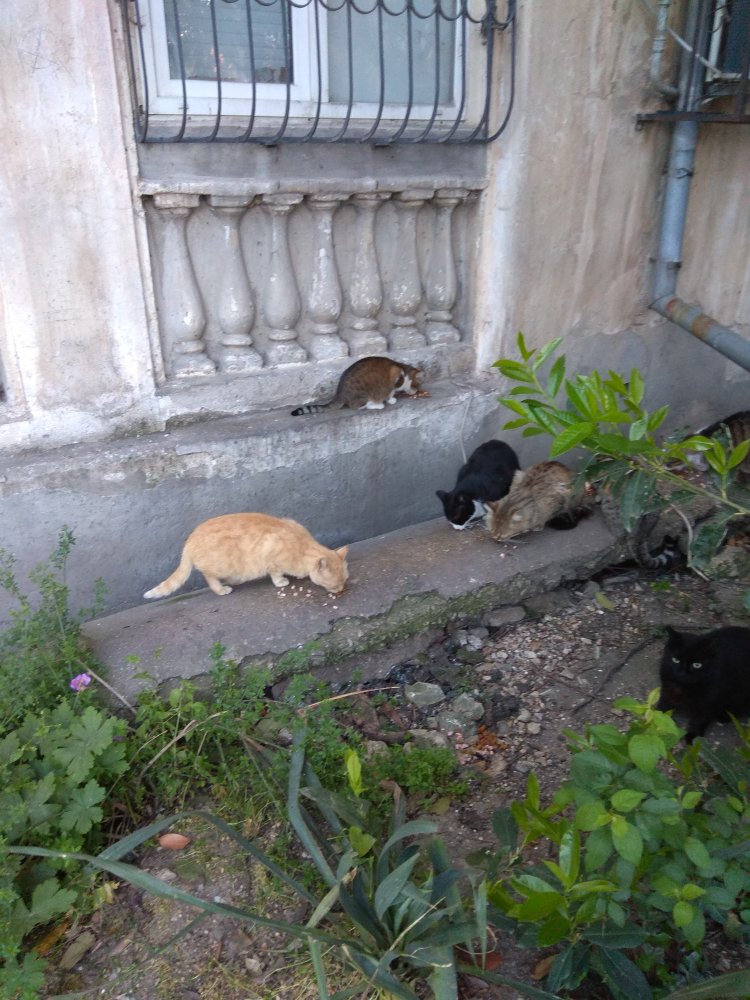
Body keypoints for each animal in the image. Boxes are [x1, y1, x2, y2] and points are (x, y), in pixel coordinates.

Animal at [143, 513, 349, 599]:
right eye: (334, 585)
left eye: (344, 581)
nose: (340, 591)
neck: (301, 546)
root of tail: (190, 539)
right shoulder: (272, 559)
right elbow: (276, 574)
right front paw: (282, 581)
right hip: (220, 567)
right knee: (209, 577)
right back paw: (222, 588)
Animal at [291, 357, 424, 415]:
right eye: (418, 384)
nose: (416, 391)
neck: (403, 369)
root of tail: (339, 394)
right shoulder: (394, 376)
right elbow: (390, 392)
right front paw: (391, 399)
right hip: (364, 394)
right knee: (357, 406)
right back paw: (377, 405)